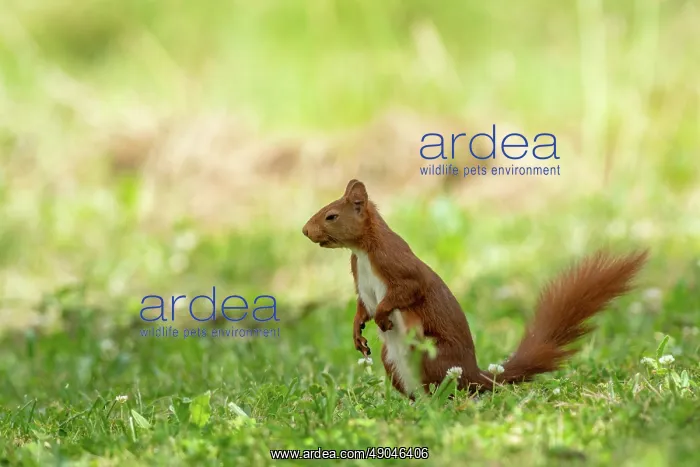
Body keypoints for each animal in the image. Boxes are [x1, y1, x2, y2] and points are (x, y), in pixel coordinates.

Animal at [302, 179, 649, 398]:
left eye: (331, 216)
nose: (305, 231)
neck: (363, 251)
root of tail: (474, 374)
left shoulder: (398, 263)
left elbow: (409, 290)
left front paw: (384, 315)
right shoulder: (359, 278)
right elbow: (362, 305)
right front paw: (358, 331)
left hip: (433, 355)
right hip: (393, 363)